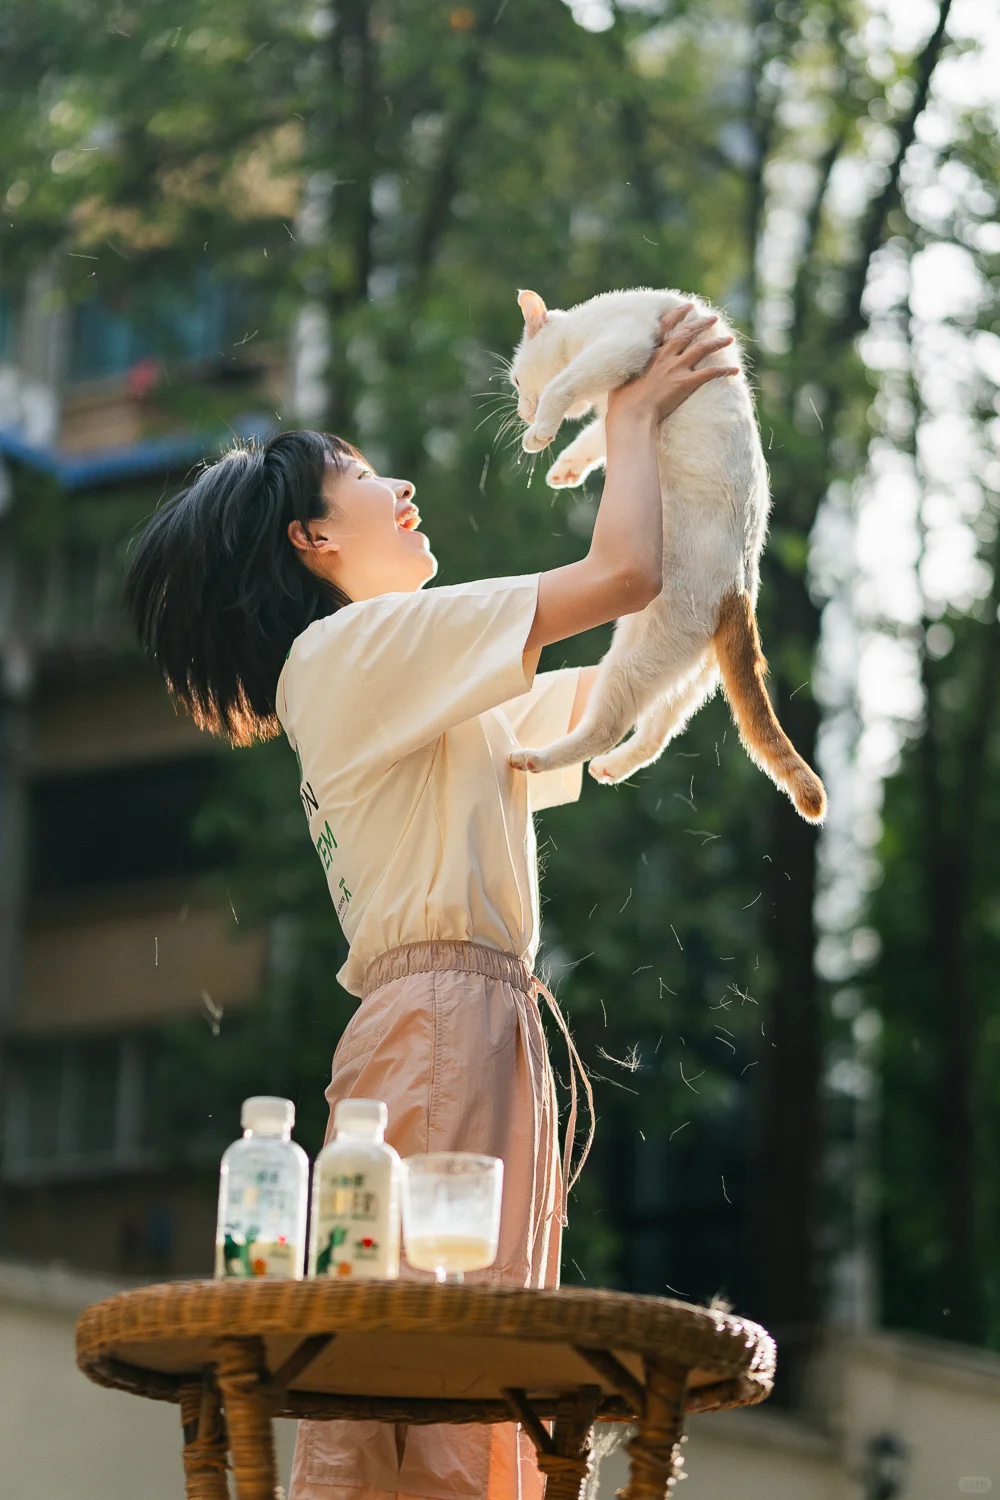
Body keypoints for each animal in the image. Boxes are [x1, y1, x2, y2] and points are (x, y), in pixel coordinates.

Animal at [509, 286, 827, 828]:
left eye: (513, 381)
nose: (523, 414)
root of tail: (739, 595)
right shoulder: (618, 408)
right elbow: (595, 435)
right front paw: (565, 467)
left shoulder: (621, 347)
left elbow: (563, 387)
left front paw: (542, 434)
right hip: (682, 677)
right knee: (656, 733)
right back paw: (611, 768)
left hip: (636, 660)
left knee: (607, 727)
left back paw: (538, 758)